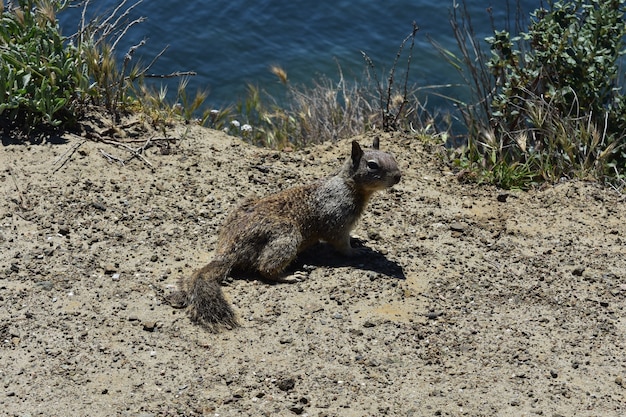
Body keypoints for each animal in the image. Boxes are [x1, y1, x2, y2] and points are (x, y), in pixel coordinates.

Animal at [171, 138, 400, 330]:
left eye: (392, 155)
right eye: (372, 165)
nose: (398, 176)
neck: (349, 186)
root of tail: (227, 251)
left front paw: (358, 240)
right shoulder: (338, 220)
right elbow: (341, 244)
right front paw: (356, 253)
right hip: (288, 236)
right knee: (265, 269)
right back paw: (290, 276)